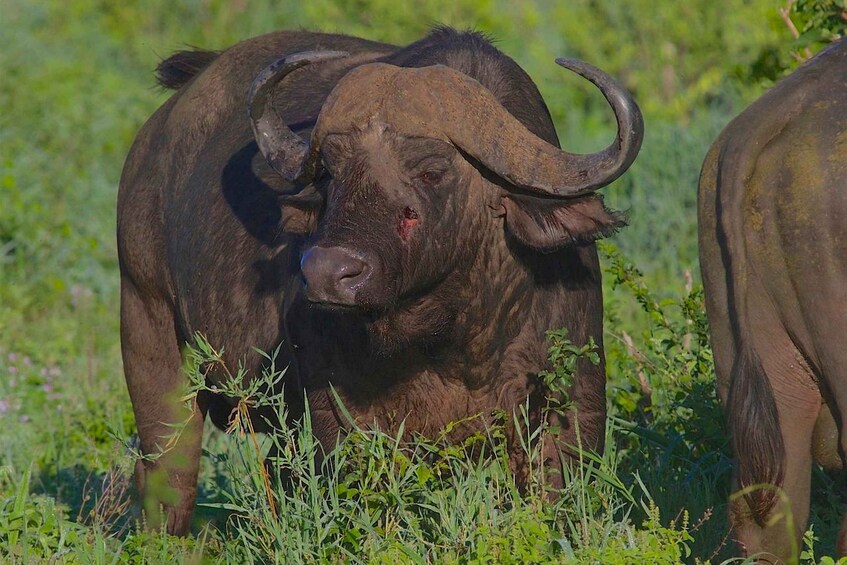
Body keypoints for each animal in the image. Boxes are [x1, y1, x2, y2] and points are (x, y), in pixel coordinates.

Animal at [118, 27, 643, 535]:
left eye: (432, 172)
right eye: (331, 172)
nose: (328, 273)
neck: (452, 341)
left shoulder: (572, 402)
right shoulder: (336, 414)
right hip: (146, 322)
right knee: (169, 474)